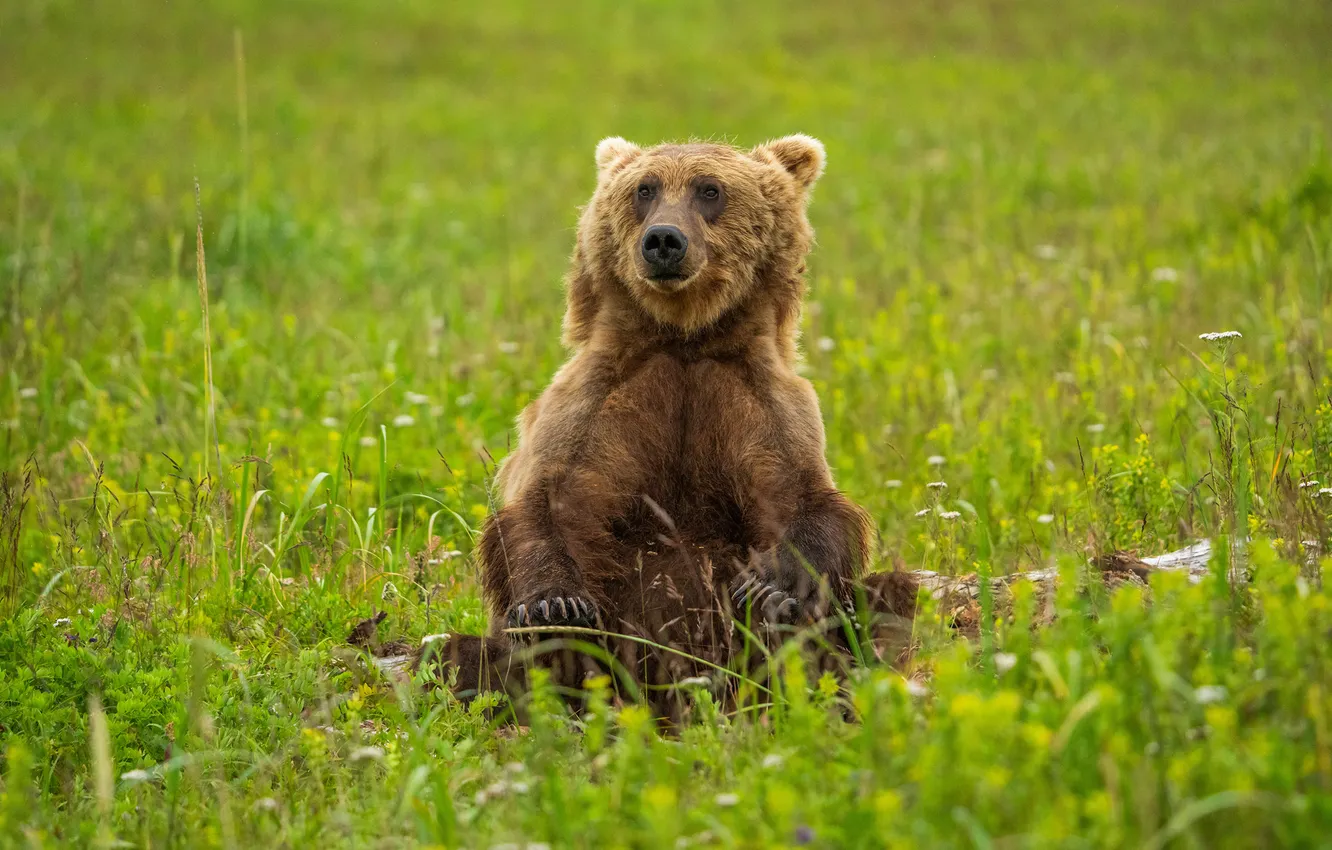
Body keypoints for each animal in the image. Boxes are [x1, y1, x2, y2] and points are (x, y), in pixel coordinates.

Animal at [417, 136, 920, 718]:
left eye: (710, 189)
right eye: (645, 189)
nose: (663, 240)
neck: (685, 336)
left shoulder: (761, 403)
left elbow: (804, 503)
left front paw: (774, 592)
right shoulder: (598, 401)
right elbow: (551, 505)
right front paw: (555, 604)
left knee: (890, 600)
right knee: (467, 656)